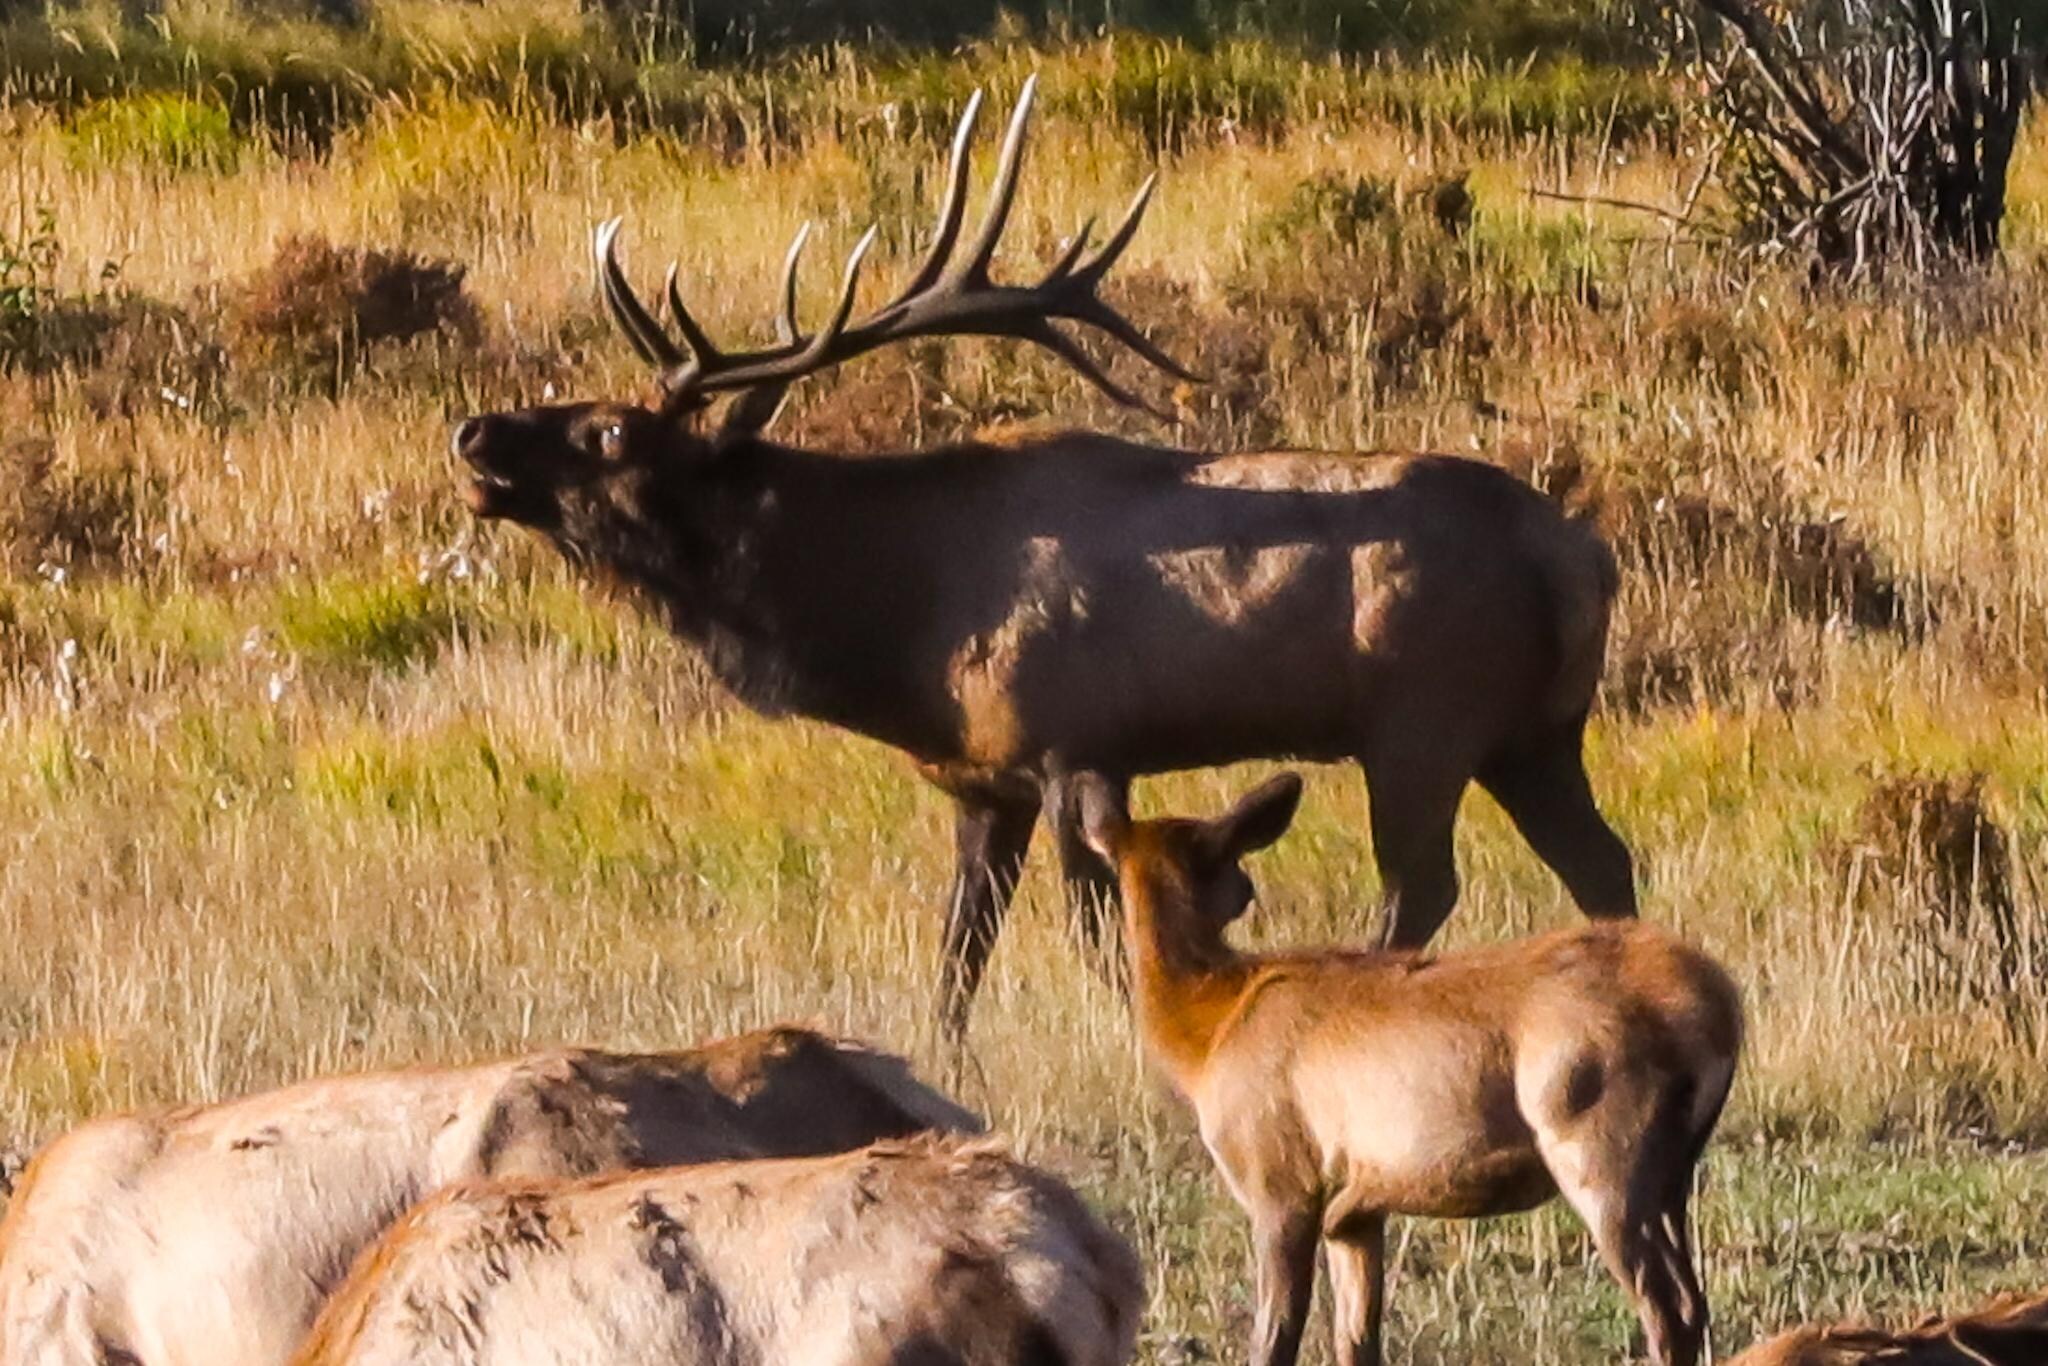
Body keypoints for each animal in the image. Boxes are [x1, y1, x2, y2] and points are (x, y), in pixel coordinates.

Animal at [450, 77, 1638, 1043]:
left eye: (608, 432)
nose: (472, 434)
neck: (891, 624)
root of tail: (1583, 555)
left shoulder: (1078, 742)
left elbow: (1095, 937)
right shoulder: (984, 783)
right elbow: (957, 955)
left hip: (1423, 723)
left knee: (1422, 887)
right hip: (1536, 732)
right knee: (1601, 861)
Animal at [1067, 769, 1742, 1366]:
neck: (1209, 1027)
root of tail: (1719, 1006)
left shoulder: (1280, 1180)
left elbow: (1275, 1339)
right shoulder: (1355, 1211)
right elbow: (1357, 1342)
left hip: (1597, 1141)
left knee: (1669, 1310)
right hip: (1673, 1171)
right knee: (1694, 1304)